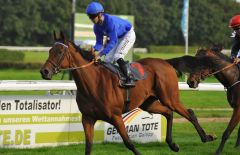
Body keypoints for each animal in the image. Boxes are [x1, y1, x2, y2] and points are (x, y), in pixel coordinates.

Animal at [40, 31, 215, 155]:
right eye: (49, 50)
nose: (44, 71)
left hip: (170, 97)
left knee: (189, 113)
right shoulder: (87, 118)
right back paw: (173, 144)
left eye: (59, 52)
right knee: (168, 112)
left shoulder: (116, 116)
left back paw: (206, 137)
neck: (93, 84)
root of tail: (165, 62)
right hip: (148, 103)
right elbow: (88, 147)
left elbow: (129, 142)